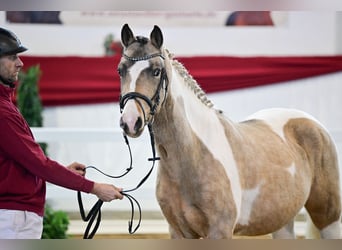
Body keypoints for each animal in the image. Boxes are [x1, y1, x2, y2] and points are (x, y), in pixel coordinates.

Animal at [116, 23, 340, 240]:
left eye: (156, 71)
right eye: (120, 71)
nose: (130, 122)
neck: (193, 156)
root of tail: (312, 123)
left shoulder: (220, 230)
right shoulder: (179, 232)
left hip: (328, 217)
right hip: (282, 219)